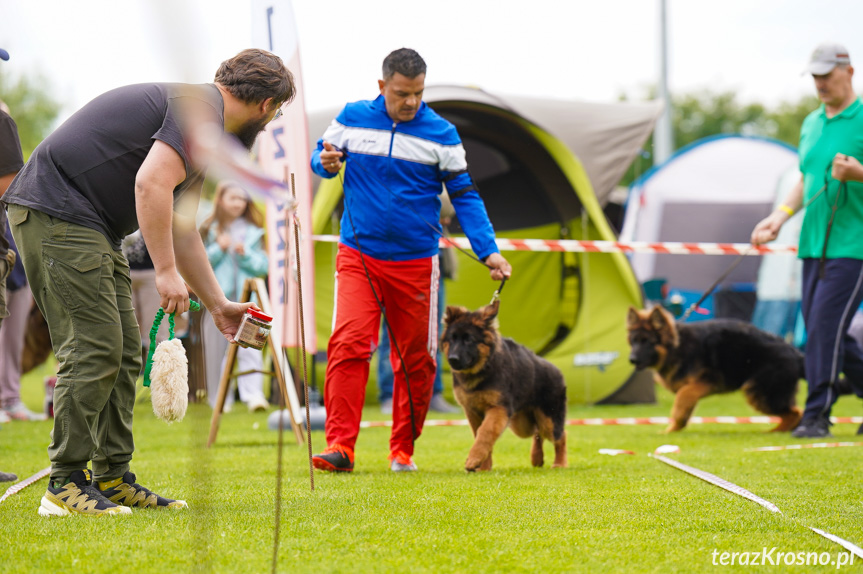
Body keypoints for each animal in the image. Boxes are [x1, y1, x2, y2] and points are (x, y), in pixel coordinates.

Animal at [442, 302, 572, 472]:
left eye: (469, 340)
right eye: (452, 339)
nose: (452, 359)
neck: (484, 367)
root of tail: (557, 371)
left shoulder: (498, 409)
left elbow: (485, 432)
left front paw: (474, 459)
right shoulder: (472, 411)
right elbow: (480, 435)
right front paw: (484, 467)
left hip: (549, 420)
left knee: (561, 436)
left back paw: (560, 463)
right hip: (521, 425)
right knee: (537, 432)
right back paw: (537, 458)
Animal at [628, 308, 804, 434]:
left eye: (647, 342)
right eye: (633, 341)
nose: (632, 359)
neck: (678, 347)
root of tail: (795, 352)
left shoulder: (705, 382)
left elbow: (682, 398)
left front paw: (671, 428)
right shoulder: (694, 388)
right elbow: (685, 407)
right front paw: (675, 429)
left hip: (760, 393)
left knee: (796, 413)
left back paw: (775, 432)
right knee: (795, 413)